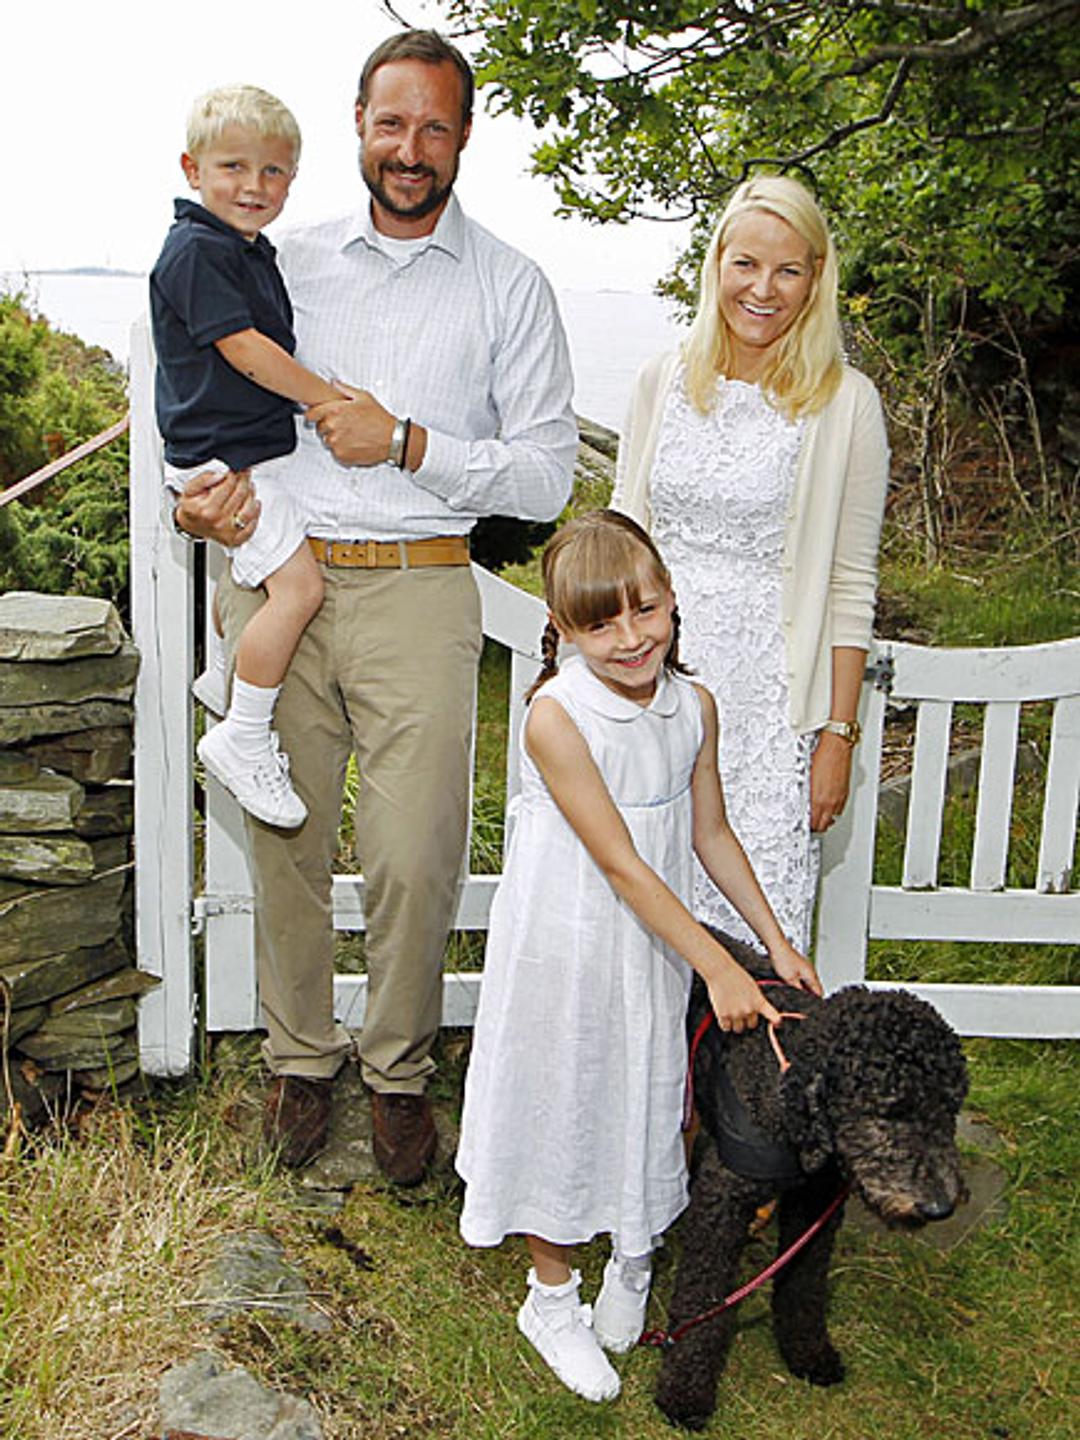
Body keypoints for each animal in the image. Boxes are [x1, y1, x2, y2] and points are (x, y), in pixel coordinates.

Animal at [654, 932, 969, 1429]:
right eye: (890, 1111)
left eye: (950, 1108)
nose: (940, 1206)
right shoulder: (723, 1199)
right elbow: (703, 1296)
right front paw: (684, 1393)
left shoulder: (815, 1205)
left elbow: (803, 1285)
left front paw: (807, 1354)